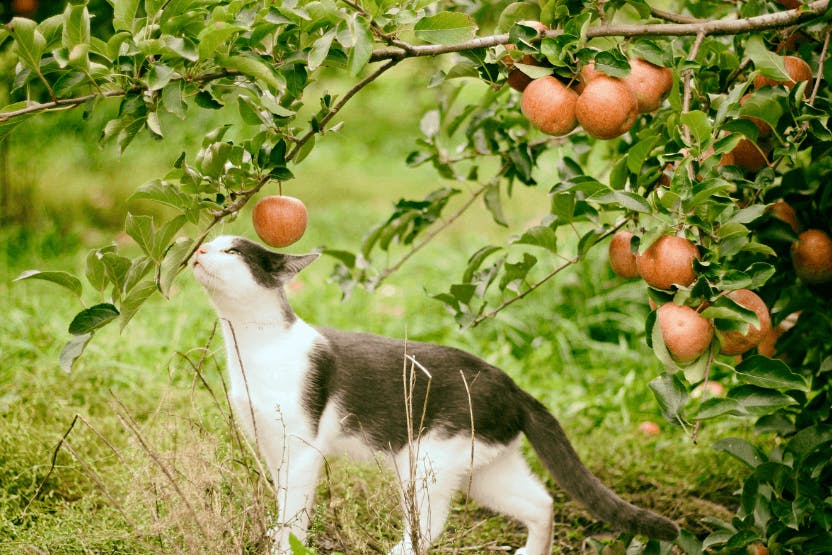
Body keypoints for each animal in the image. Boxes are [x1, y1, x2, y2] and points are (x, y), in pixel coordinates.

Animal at [192, 236, 680, 555]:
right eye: (210, 244)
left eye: (232, 252)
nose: (196, 251)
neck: (253, 345)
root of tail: (512, 385)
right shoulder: (269, 444)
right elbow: (281, 501)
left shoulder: (302, 447)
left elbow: (292, 513)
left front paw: (283, 546)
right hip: (484, 466)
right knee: (541, 503)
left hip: (429, 458)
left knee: (430, 524)